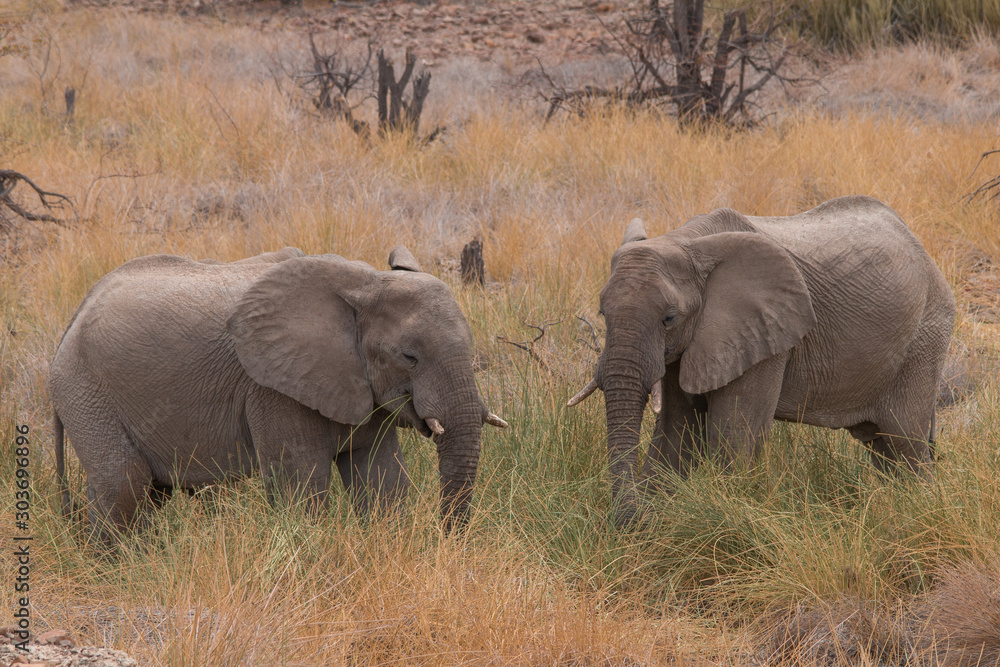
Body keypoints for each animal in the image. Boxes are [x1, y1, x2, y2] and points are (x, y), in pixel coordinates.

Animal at [52, 245, 508, 544]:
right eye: (409, 357)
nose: (447, 541)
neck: (363, 282)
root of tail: (72, 320)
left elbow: (382, 478)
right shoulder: (272, 389)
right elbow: (300, 483)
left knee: (149, 491)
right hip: (85, 390)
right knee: (122, 484)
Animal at [572, 196, 952, 528]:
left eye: (669, 318)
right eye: (602, 313)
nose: (630, 521)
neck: (687, 242)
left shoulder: (763, 337)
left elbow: (733, 437)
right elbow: (675, 431)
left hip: (924, 339)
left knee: (905, 442)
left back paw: (919, 512)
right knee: (882, 446)